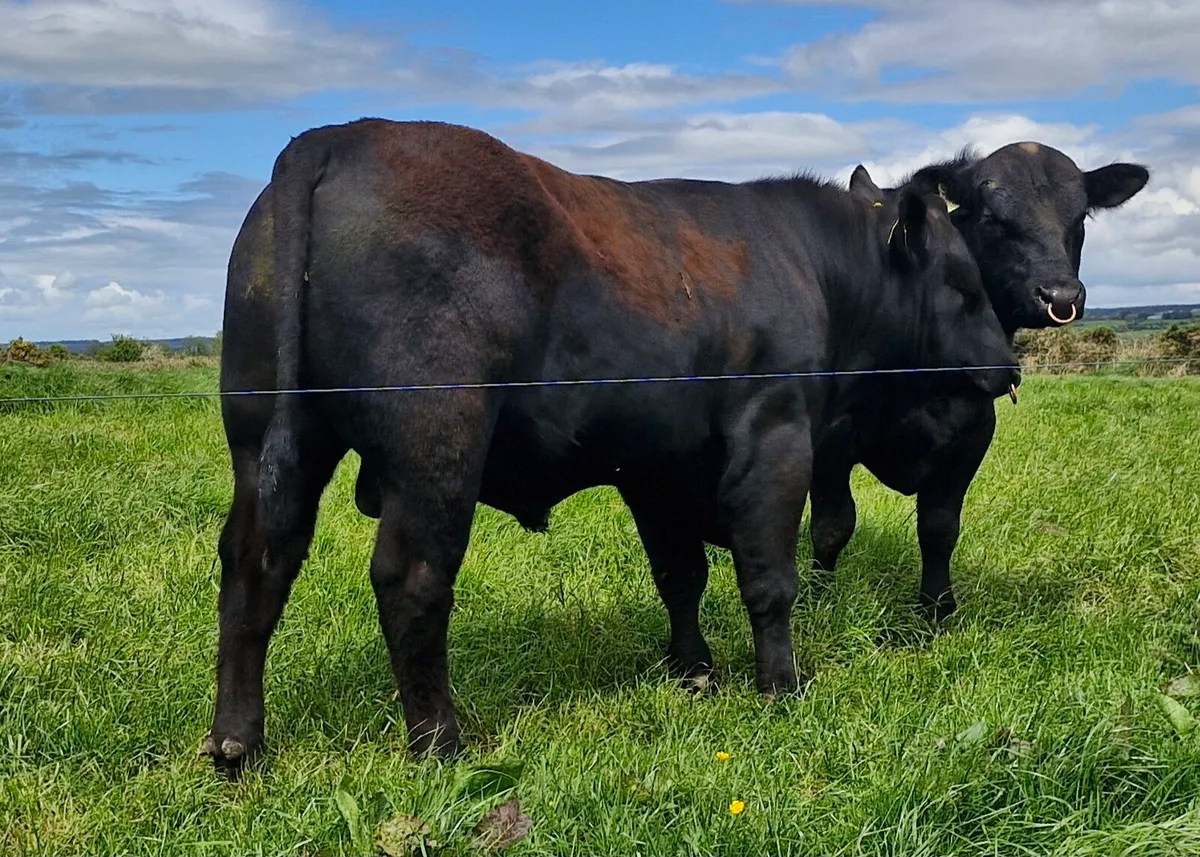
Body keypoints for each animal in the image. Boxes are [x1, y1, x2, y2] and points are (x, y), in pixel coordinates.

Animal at [199, 118, 1019, 776]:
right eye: (963, 286)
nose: (1009, 366)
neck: (810, 267)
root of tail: (336, 138)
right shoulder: (776, 432)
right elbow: (768, 577)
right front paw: (780, 687)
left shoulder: (657, 466)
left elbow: (680, 573)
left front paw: (693, 671)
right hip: (436, 445)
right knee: (412, 580)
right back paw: (441, 743)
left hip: (265, 434)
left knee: (256, 561)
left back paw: (238, 744)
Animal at [803, 147, 1148, 619]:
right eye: (991, 218)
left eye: (1079, 218)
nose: (1059, 297)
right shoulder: (833, 439)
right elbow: (832, 525)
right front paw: (818, 599)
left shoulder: (972, 435)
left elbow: (939, 527)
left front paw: (936, 610)